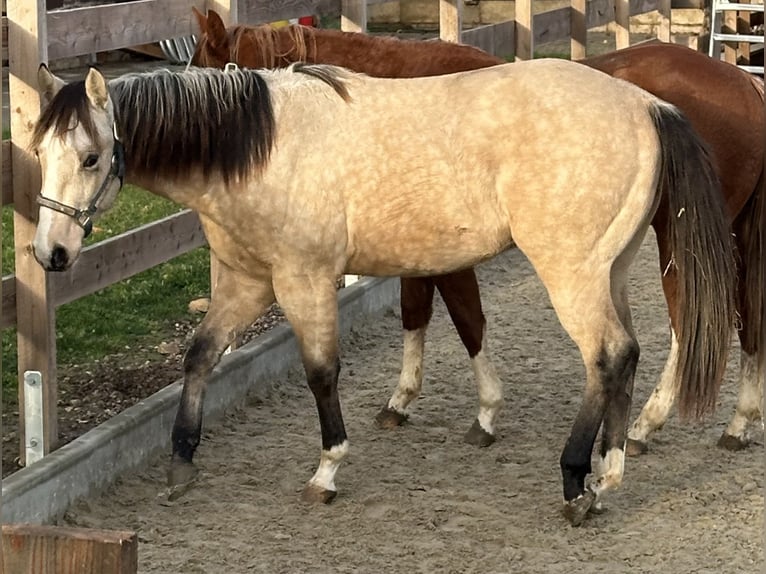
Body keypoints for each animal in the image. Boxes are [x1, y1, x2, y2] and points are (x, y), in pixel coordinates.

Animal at [31, 59, 736, 528]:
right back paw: (610, 471)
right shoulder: (248, 284)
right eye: (40, 152)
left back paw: (575, 481)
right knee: (628, 354)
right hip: (608, 270)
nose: (50, 254)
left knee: (606, 356)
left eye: (91, 157)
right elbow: (199, 356)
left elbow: (321, 373)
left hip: (571, 272)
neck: (258, 150)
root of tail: (646, 106)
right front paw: (181, 460)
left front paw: (327, 470)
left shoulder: (303, 280)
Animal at [192, 10, 766, 454]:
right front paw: (402, 398)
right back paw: (739, 421)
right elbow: (416, 311)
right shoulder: (416, 247)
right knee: (746, 318)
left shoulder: (449, 256)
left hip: (680, 242)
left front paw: (486, 413)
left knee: (692, 322)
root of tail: (745, 87)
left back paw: (649, 423)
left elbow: (467, 319)